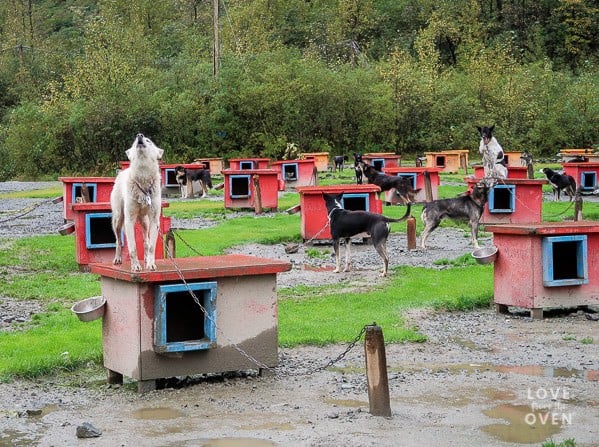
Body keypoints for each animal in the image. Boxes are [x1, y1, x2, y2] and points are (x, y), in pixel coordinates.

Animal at [110, 133, 164, 272]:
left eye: (148, 141)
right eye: (135, 142)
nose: (139, 135)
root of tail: (121, 173)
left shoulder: (154, 220)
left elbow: (151, 246)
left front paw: (150, 264)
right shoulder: (129, 220)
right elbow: (132, 247)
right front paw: (135, 266)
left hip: (145, 222)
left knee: (146, 241)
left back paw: (145, 259)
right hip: (118, 219)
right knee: (118, 241)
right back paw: (117, 259)